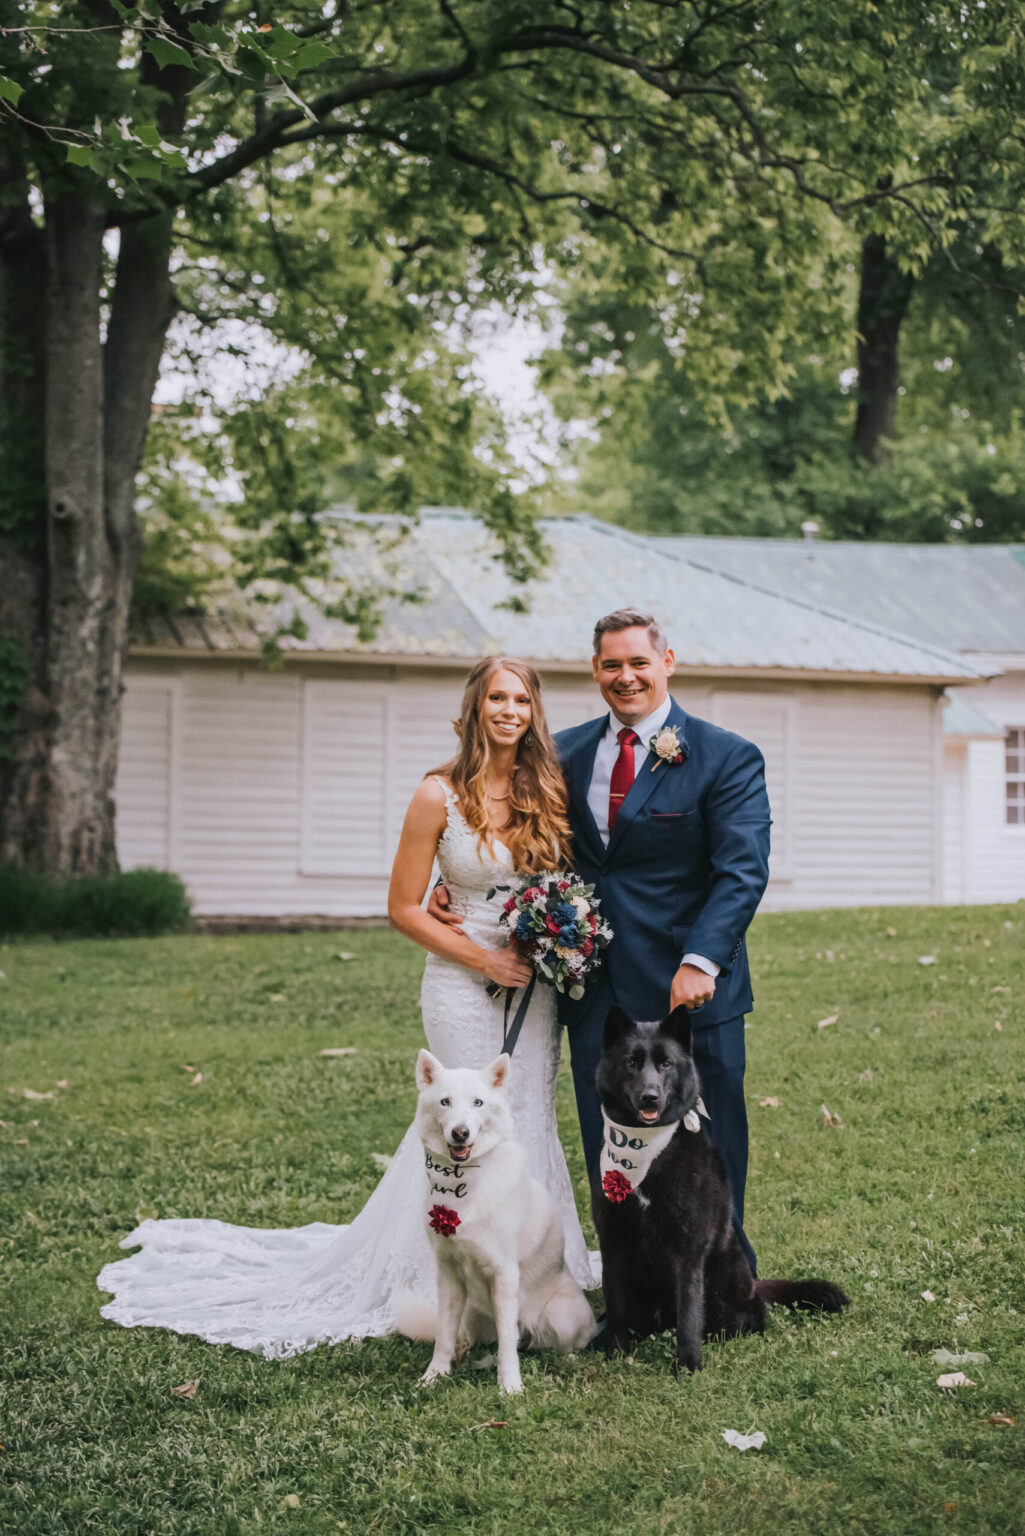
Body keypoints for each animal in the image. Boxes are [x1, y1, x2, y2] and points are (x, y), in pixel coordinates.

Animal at [396, 1050, 596, 1400]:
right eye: (445, 1102)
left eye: (478, 1103)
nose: (460, 1133)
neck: (465, 1184)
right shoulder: (449, 1276)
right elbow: (443, 1336)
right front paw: (434, 1376)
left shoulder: (504, 1275)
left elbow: (506, 1344)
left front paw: (510, 1386)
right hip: (471, 1313)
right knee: (468, 1337)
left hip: (561, 1316)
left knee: (561, 1343)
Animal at [593, 1001, 848, 1376]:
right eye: (630, 1062)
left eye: (666, 1063)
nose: (650, 1097)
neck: (648, 1153)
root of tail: (754, 1287)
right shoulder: (612, 1242)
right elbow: (616, 1304)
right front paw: (615, 1350)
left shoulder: (688, 1248)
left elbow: (689, 1313)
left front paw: (688, 1364)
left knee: (744, 1318)